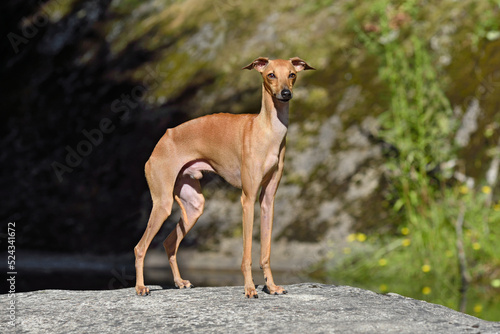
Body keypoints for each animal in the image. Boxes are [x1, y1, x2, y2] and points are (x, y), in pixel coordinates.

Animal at [135, 56, 314, 298]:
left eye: (292, 74)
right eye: (271, 75)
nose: (285, 94)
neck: (267, 130)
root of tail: (163, 139)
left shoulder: (267, 200)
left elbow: (266, 251)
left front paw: (271, 286)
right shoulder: (247, 199)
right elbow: (246, 253)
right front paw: (250, 289)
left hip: (193, 205)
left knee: (169, 242)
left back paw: (180, 282)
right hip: (162, 203)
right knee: (140, 247)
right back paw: (141, 287)